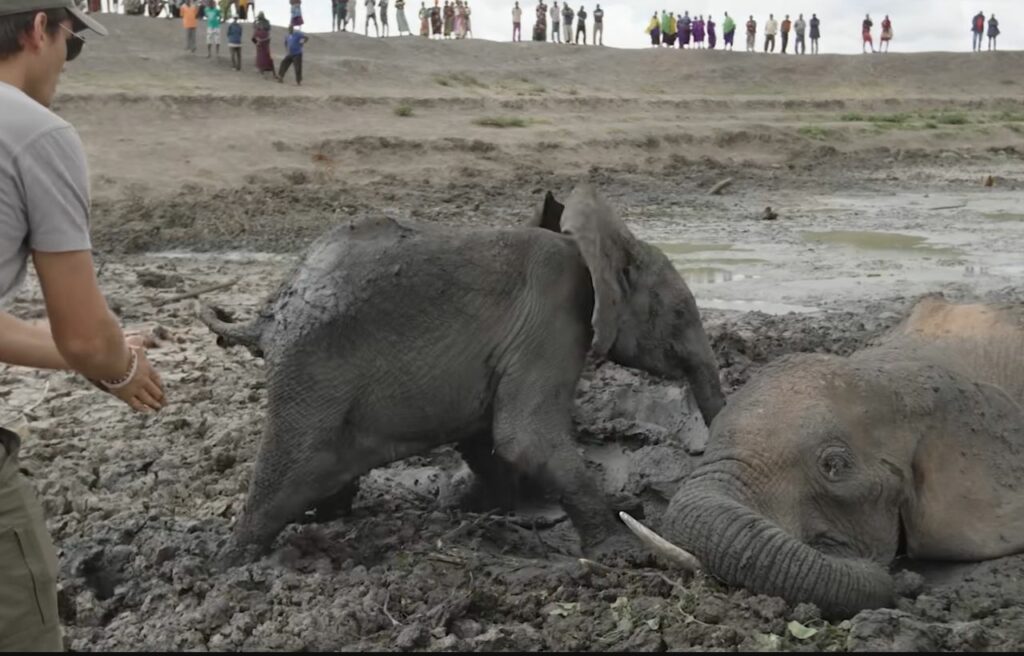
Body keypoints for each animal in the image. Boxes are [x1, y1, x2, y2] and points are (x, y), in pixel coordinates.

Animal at [198, 183, 726, 563]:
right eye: (680, 314)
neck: (596, 248)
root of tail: (268, 313)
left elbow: (488, 438)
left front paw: (492, 506)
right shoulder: (550, 328)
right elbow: (525, 437)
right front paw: (624, 552)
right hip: (312, 373)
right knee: (286, 477)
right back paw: (233, 563)